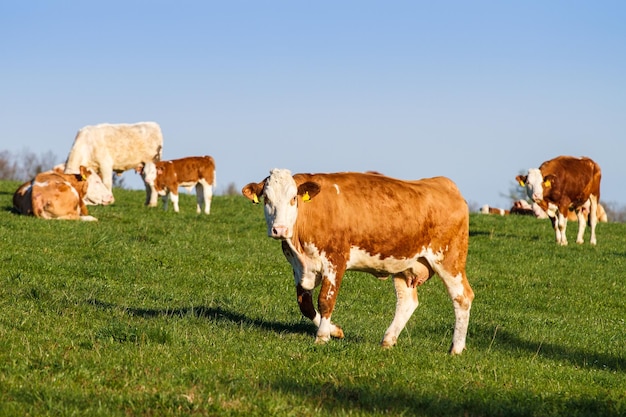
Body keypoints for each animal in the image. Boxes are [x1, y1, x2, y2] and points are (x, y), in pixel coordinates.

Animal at [240, 169, 472, 354]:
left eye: (293, 198)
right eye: (266, 199)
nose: (279, 229)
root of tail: (444, 183)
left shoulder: (335, 260)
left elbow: (325, 300)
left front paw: (322, 336)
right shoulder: (298, 267)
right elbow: (305, 305)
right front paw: (335, 331)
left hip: (449, 259)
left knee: (462, 297)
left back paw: (456, 348)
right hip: (404, 264)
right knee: (407, 301)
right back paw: (388, 340)